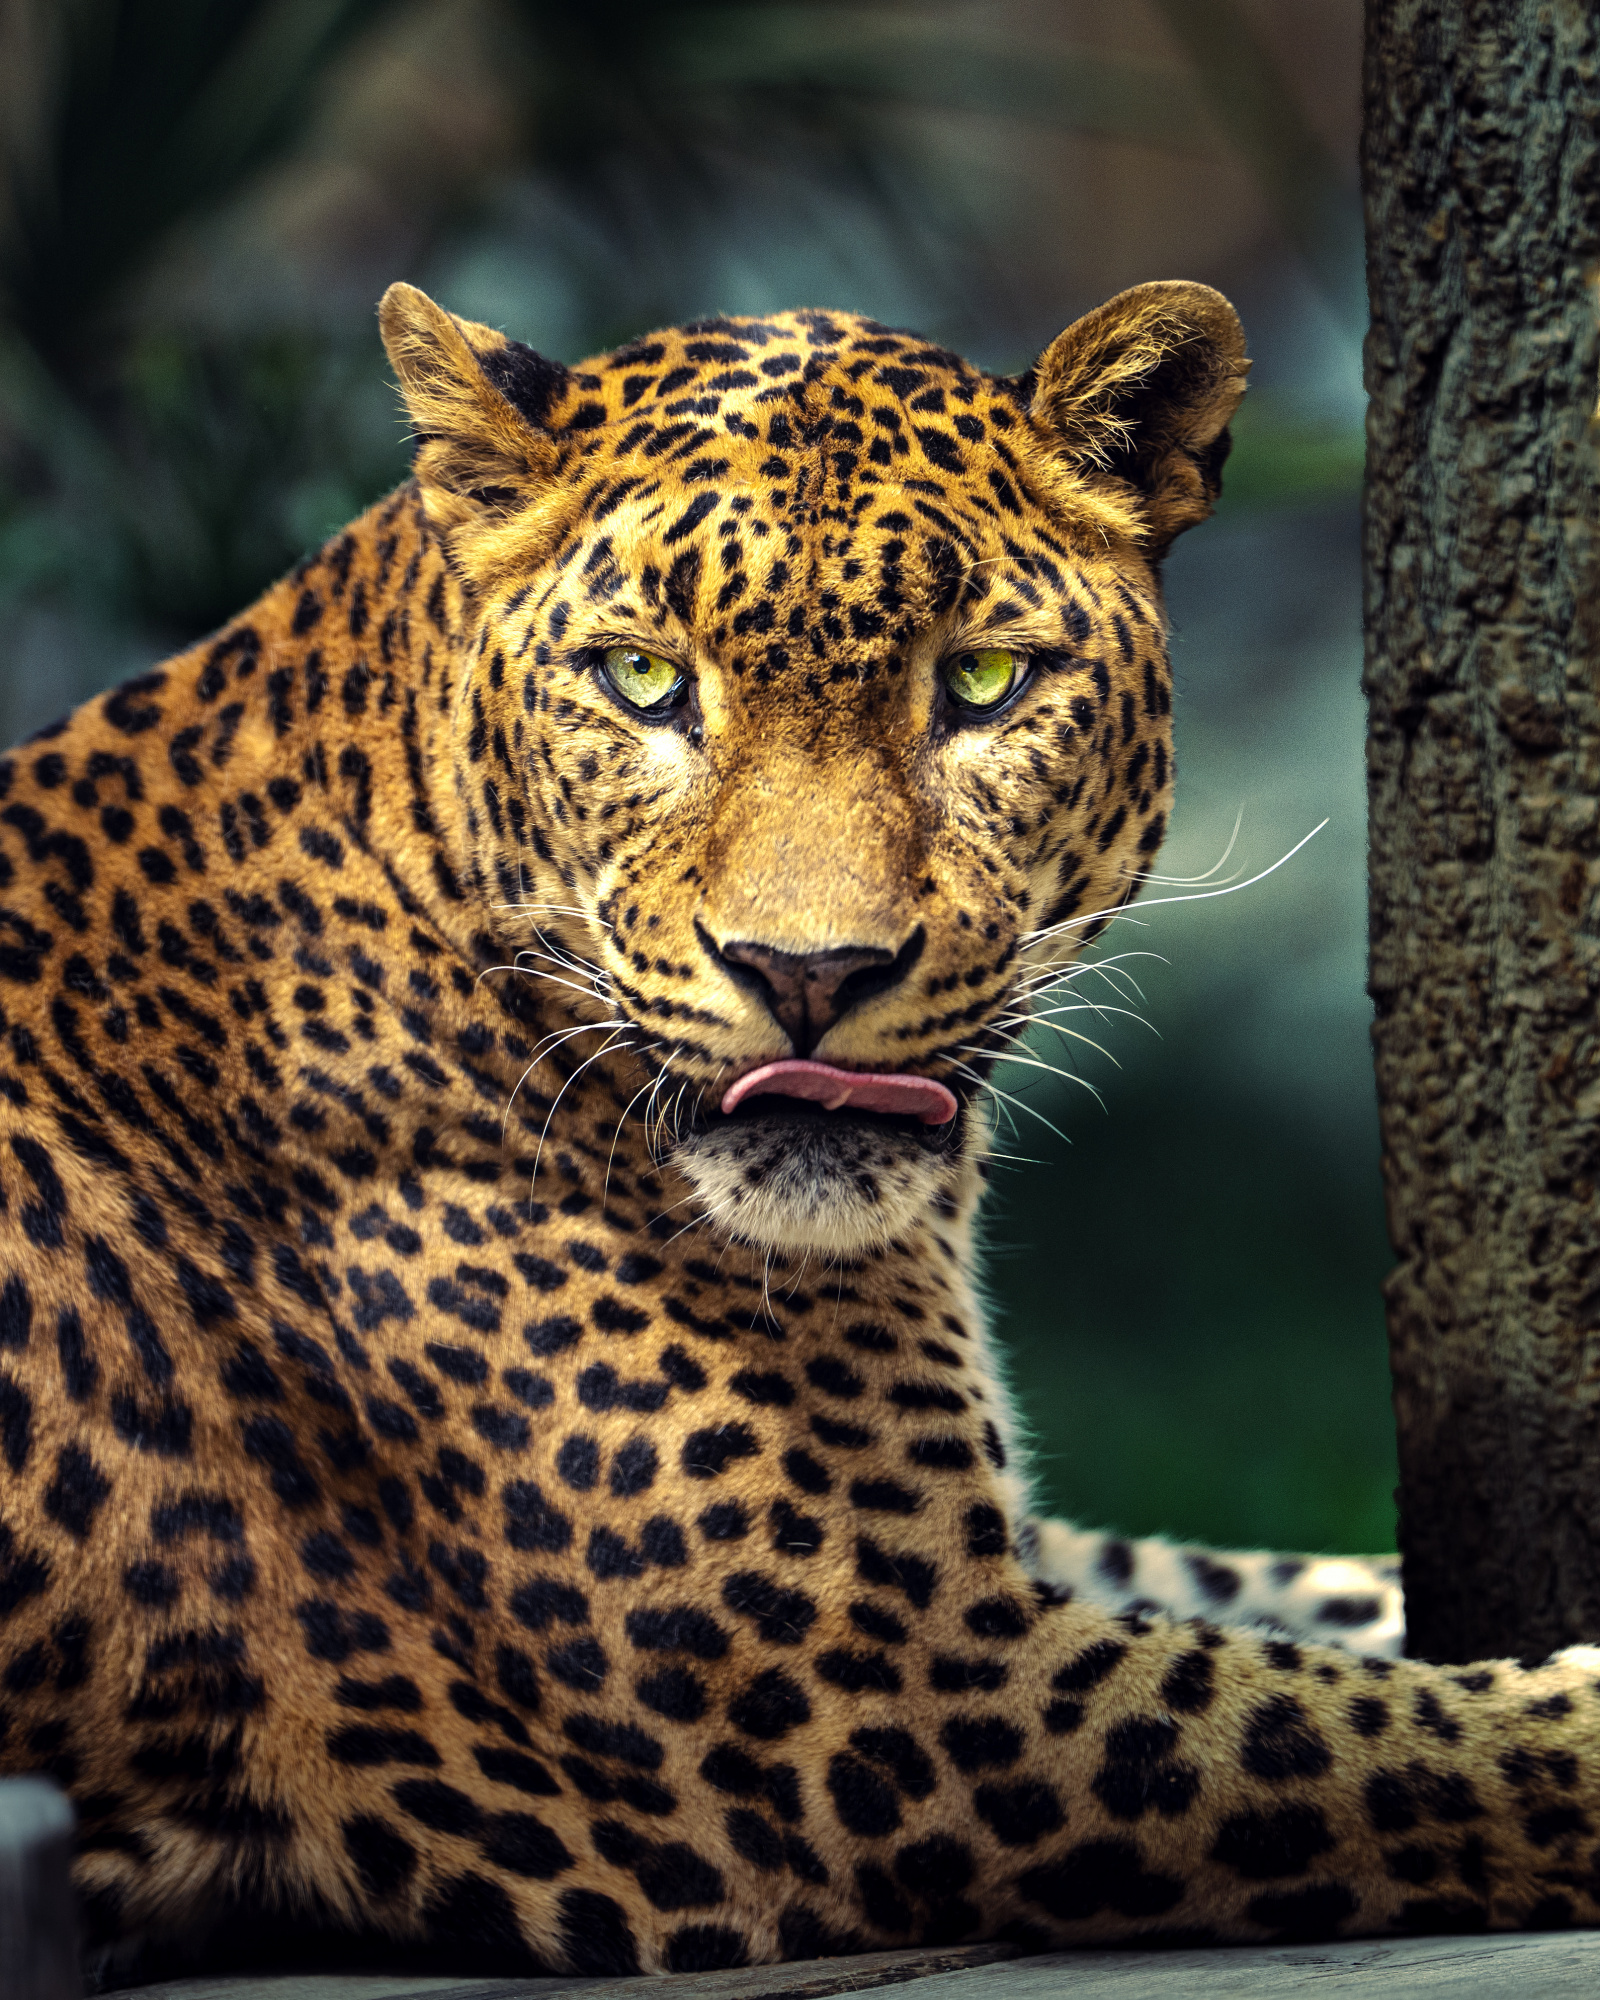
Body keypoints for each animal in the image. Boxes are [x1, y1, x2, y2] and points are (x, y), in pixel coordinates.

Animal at [0, 275, 1597, 1985]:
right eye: (642, 682)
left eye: (982, 684)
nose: (808, 972)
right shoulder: (899, 1698)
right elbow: (1412, 1741)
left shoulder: (965, 1555)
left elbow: (1305, 1595)